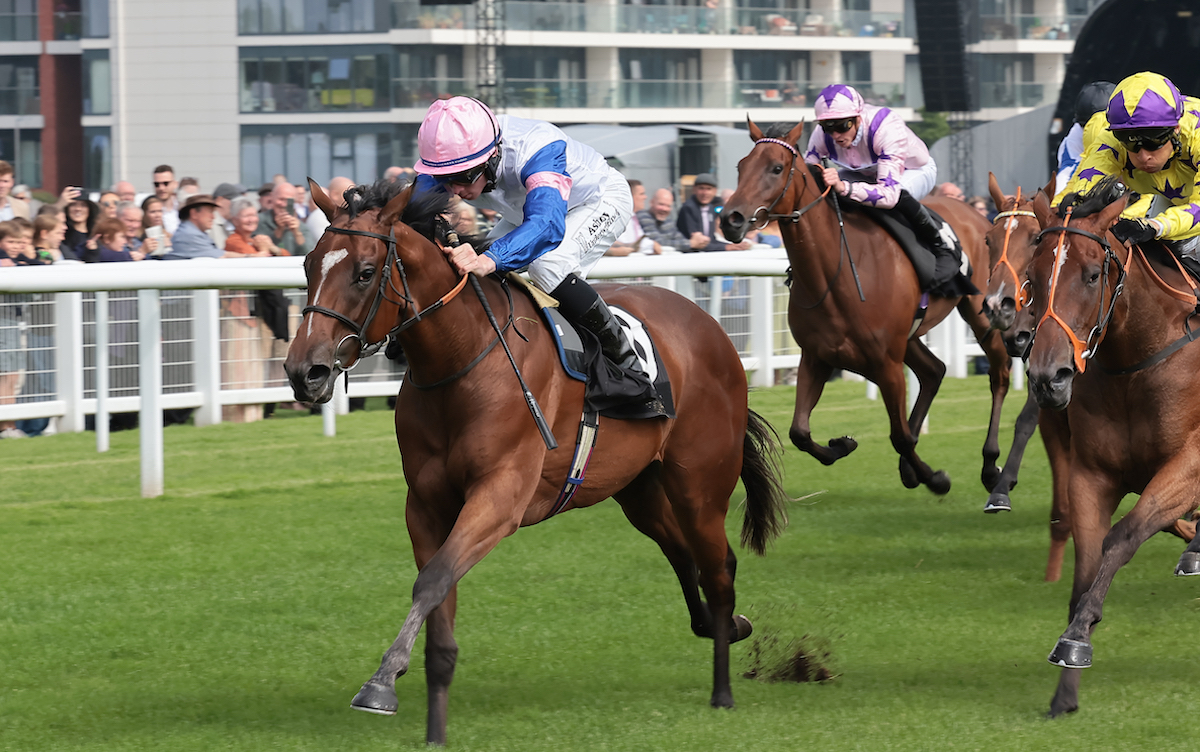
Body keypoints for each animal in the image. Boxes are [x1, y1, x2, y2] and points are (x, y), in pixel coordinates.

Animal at [279, 179, 787, 743]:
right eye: (308, 265)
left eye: (365, 272)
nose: (304, 371)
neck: (462, 357)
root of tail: (713, 329)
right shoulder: (426, 505)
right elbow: (438, 599)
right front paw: (434, 727)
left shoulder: (501, 496)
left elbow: (432, 580)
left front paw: (381, 682)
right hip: (639, 489)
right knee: (683, 554)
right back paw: (729, 627)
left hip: (699, 484)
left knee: (718, 569)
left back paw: (723, 688)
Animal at [720, 119, 1012, 494]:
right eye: (741, 166)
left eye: (776, 168)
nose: (731, 219)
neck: (837, 274)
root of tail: (978, 215)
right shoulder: (816, 356)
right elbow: (799, 432)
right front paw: (842, 444)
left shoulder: (886, 363)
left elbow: (900, 436)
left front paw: (936, 478)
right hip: (909, 337)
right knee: (934, 371)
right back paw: (911, 468)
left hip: (979, 311)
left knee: (999, 373)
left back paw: (990, 466)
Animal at [1022, 182, 1200, 719]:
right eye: (1032, 276)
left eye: (1093, 274)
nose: (1048, 377)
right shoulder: (1090, 475)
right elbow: (1086, 568)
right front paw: (1065, 686)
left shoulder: (1188, 465)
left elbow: (1123, 536)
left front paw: (1076, 638)